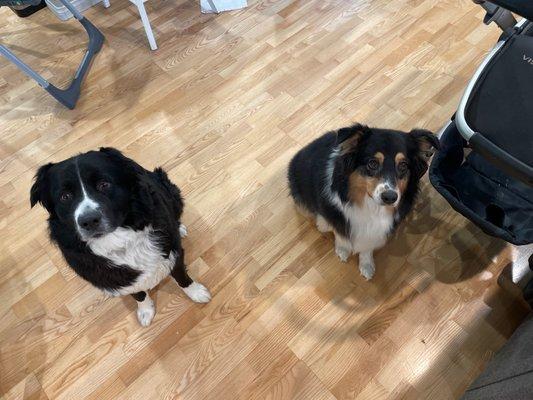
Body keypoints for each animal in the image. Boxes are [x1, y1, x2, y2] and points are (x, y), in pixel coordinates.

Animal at [30, 148, 211, 326]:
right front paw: (146, 311)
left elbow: (182, 276)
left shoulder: (172, 252)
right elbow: (139, 294)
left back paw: (180, 227)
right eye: (65, 196)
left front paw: (196, 292)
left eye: (104, 184)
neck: (120, 242)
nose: (89, 220)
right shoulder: (120, 281)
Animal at [288, 123, 438, 280]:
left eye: (403, 165)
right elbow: (340, 233)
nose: (390, 197)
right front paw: (343, 250)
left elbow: (367, 247)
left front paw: (366, 265)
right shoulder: (335, 214)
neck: (371, 207)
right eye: (372, 163)